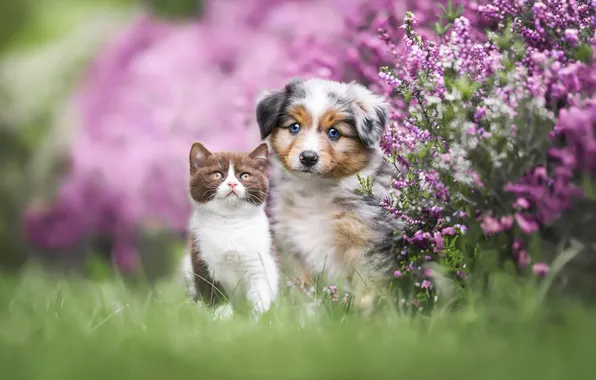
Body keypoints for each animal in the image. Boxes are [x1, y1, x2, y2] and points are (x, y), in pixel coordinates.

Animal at [180, 140, 280, 318]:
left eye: (245, 176)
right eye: (217, 175)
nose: (232, 183)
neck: (230, 221)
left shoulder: (260, 259)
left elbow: (260, 290)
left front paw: (260, 318)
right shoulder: (201, 257)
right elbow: (213, 291)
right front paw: (222, 316)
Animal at [254, 77, 408, 312]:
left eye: (334, 132)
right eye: (294, 127)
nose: (308, 157)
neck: (316, 189)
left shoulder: (369, 247)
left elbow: (366, 294)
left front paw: (364, 317)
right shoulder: (295, 248)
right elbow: (302, 294)